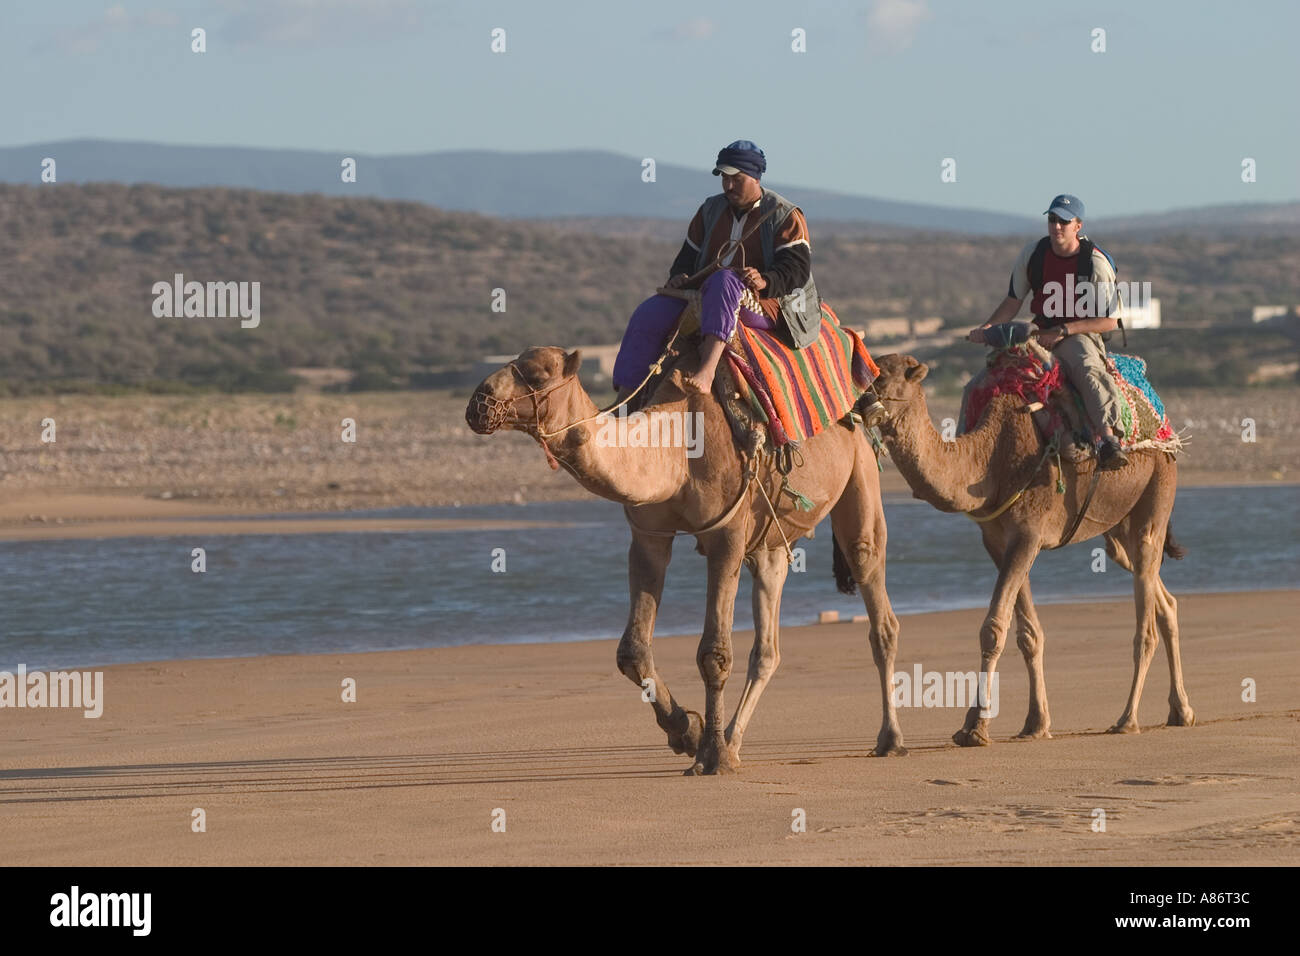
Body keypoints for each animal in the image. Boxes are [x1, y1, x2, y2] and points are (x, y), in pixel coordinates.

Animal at [467, 348, 904, 775]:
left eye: (539, 374)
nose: (478, 403)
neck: (675, 451)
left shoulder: (727, 535)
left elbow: (714, 653)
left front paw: (712, 757)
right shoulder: (648, 536)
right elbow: (633, 651)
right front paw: (688, 732)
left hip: (860, 472)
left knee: (875, 598)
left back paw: (889, 739)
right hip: (769, 542)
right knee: (768, 645)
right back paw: (734, 741)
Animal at [868, 353, 1190, 749]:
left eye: (881, 377)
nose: (858, 402)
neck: (988, 458)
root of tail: (1165, 425)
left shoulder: (1028, 533)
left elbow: (993, 628)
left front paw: (975, 727)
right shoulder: (997, 540)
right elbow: (1028, 634)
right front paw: (1035, 723)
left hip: (1159, 484)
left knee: (1146, 612)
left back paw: (1128, 718)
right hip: (1118, 528)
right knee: (1160, 594)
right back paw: (1181, 710)